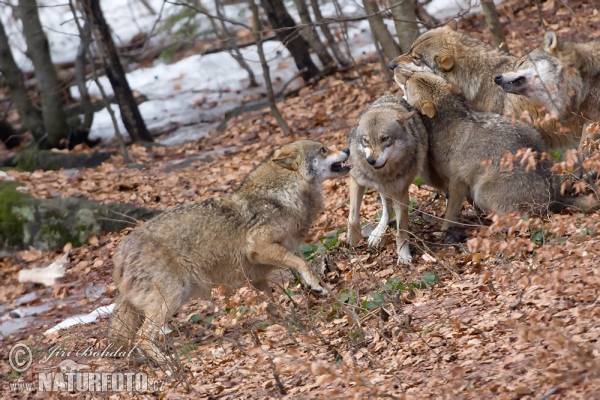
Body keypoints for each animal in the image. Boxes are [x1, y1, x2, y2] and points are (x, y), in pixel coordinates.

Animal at [108, 141, 352, 362]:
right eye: (323, 149)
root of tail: (119, 256)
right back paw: (171, 367)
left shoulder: (257, 275)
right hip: (171, 298)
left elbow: (272, 305)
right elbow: (302, 263)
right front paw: (316, 285)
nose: (348, 149)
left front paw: (288, 321)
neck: (282, 195)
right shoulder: (261, 248)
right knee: (142, 337)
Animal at [394, 69, 600, 241]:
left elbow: (449, 215)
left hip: (483, 192)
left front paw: (444, 232)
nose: (395, 69)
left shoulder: (457, 183)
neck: (450, 123)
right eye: (412, 73)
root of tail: (554, 198)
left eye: (408, 80)